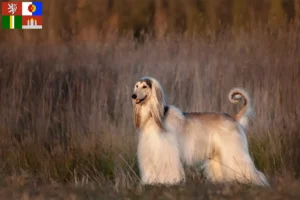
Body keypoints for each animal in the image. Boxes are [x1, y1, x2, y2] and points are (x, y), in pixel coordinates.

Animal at [132, 76, 270, 186]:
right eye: (136, 86)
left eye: (144, 86)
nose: (133, 96)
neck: (153, 118)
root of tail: (233, 118)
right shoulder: (150, 151)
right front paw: (150, 182)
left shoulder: (166, 151)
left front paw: (169, 181)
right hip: (218, 154)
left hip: (233, 150)